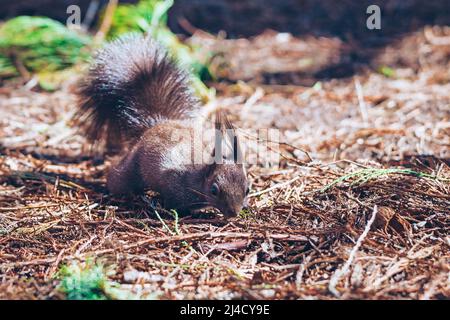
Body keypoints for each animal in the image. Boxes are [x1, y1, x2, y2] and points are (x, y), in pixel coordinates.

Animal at [75, 34, 248, 218]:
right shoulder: (173, 180)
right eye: (214, 190)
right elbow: (172, 199)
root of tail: (156, 124)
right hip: (132, 167)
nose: (233, 213)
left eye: (248, 190)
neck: (199, 176)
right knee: (118, 179)